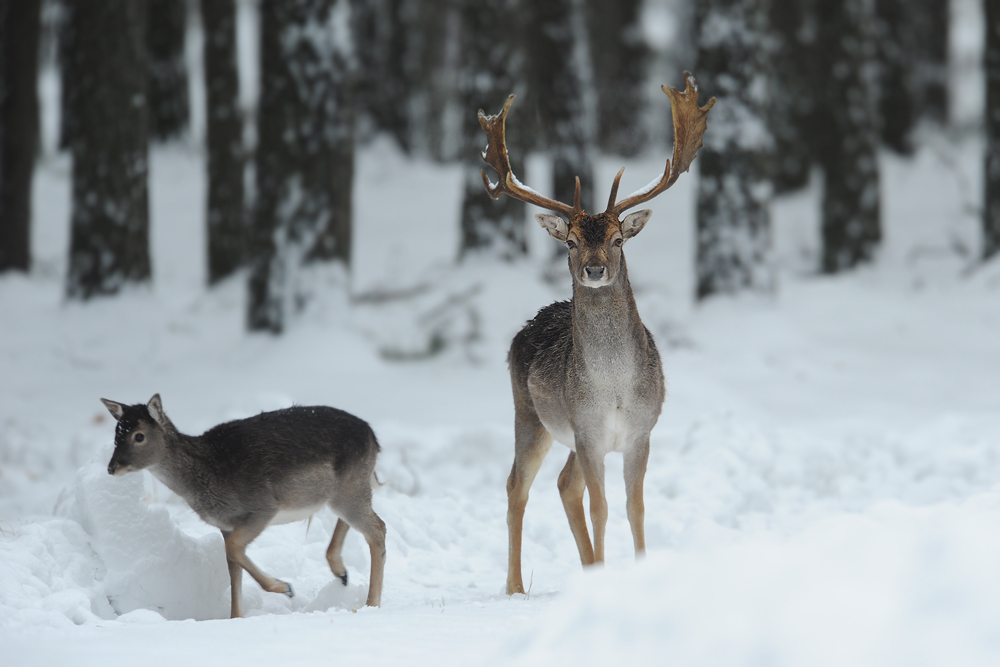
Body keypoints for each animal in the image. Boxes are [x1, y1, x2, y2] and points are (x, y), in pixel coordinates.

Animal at [99, 394, 384, 620]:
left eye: (139, 436)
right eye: (116, 434)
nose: (112, 467)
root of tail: (374, 437)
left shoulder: (262, 506)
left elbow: (236, 549)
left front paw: (285, 587)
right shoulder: (225, 526)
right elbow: (233, 566)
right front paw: (236, 617)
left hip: (348, 489)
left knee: (378, 528)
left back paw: (372, 603)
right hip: (345, 491)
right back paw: (342, 572)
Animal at [480, 73, 716, 596]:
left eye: (618, 239)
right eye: (570, 241)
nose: (593, 269)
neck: (615, 390)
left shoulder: (641, 431)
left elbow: (635, 507)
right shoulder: (587, 430)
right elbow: (601, 507)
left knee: (562, 485)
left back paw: (586, 570)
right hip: (530, 415)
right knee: (517, 485)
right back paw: (515, 586)